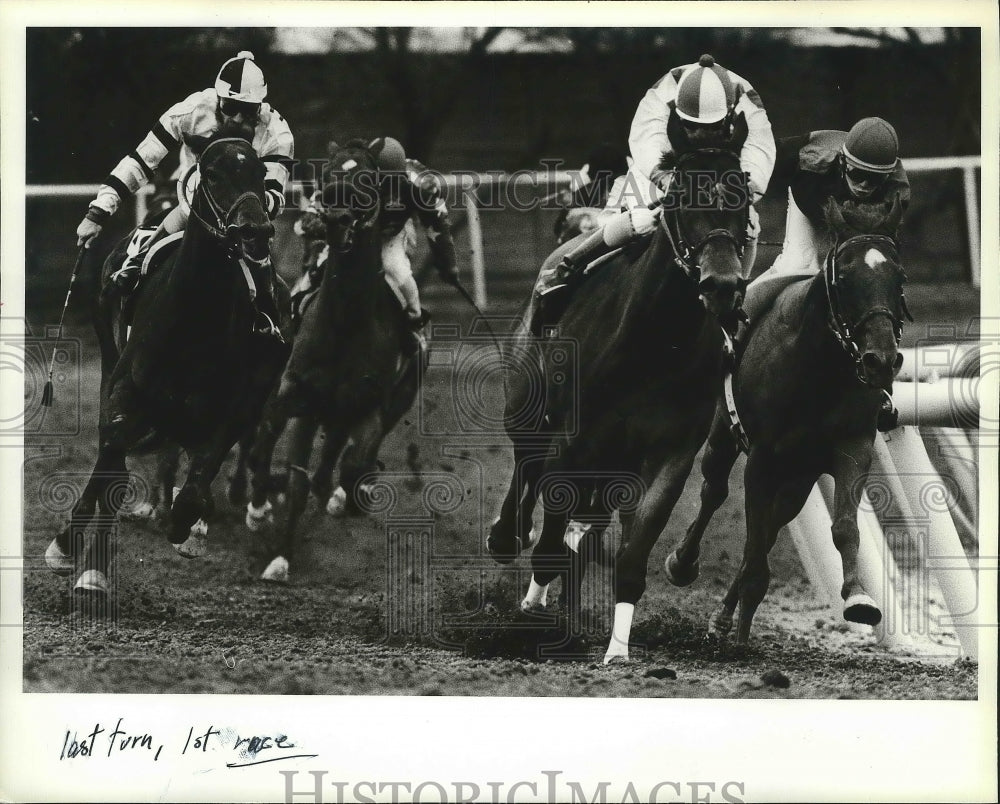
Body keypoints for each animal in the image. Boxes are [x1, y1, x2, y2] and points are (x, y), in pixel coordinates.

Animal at [47, 137, 290, 604]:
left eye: (259, 173)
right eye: (212, 173)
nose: (255, 231)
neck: (195, 317)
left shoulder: (231, 410)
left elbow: (196, 483)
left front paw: (187, 525)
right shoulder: (126, 391)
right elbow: (112, 456)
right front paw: (71, 549)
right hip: (109, 357)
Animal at [244, 141, 420, 580]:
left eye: (369, 179)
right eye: (328, 176)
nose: (338, 217)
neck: (345, 323)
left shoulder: (369, 407)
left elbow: (353, 464)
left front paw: (344, 497)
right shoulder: (296, 394)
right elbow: (269, 451)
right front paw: (270, 534)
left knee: (338, 464)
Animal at [488, 141, 752, 664]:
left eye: (744, 202)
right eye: (682, 200)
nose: (722, 285)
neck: (655, 342)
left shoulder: (669, 455)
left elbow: (631, 554)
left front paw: (617, 649)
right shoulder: (572, 444)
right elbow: (550, 541)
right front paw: (534, 613)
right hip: (526, 409)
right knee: (526, 465)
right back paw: (507, 536)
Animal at [668, 196, 912, 648]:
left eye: (898, 276)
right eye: (845, 277)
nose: (881, 361)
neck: (820, 369)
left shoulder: (852, 449)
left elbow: (843, 528)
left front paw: (859, 598)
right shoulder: (762, 459)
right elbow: (751, 541)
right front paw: (741, 637)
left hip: (799, 477)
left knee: (772, 525)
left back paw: (724, 616)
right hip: (724, 438)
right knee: (714, 491)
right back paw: (683, 564)